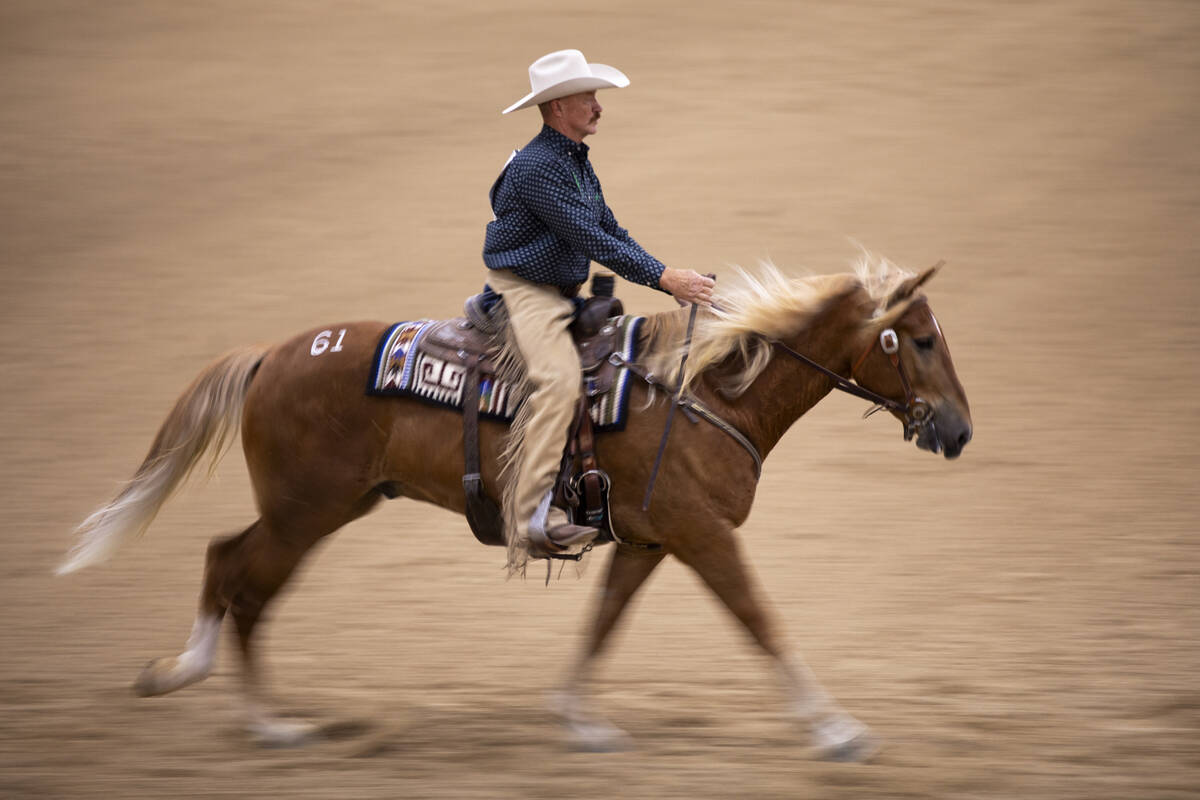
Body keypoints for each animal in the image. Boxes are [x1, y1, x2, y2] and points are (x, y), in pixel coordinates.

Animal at [60, 260, 969, 762]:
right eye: (920, 339)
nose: (959, 430)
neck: (703, 390)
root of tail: (269, 356)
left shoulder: (648, 541)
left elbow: (602, 624)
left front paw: (579, 722)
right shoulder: (703, 536)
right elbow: (761, 621)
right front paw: (838, 733)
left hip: (325, 507)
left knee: (225, 560)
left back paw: (190, 678)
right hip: (304, 514)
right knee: (244, 583)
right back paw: (266, 724)